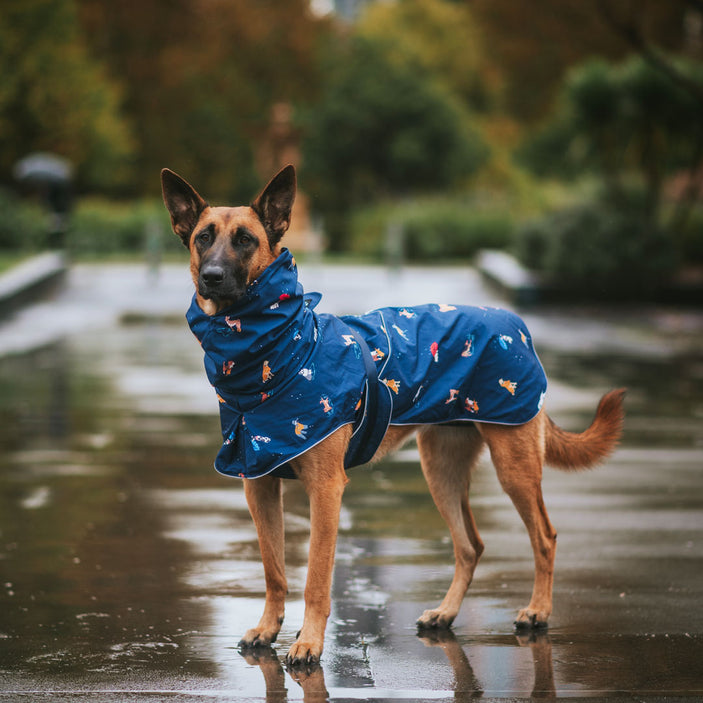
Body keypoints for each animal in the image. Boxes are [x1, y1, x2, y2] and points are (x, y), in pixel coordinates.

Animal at [164, 164, 628, 664]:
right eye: (203, 237)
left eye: (246, 240)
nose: (211, 276)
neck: (276, 352)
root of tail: (514, 324)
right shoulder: (260, 488)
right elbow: (274, 571)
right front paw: (269, 629)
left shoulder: (325, 490)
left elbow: (316, 578)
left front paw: (309, 642)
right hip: (440, 471)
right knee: (470, 545)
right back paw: (446, 613)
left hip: (514, 466)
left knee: (544, 536)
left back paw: (538, 611)